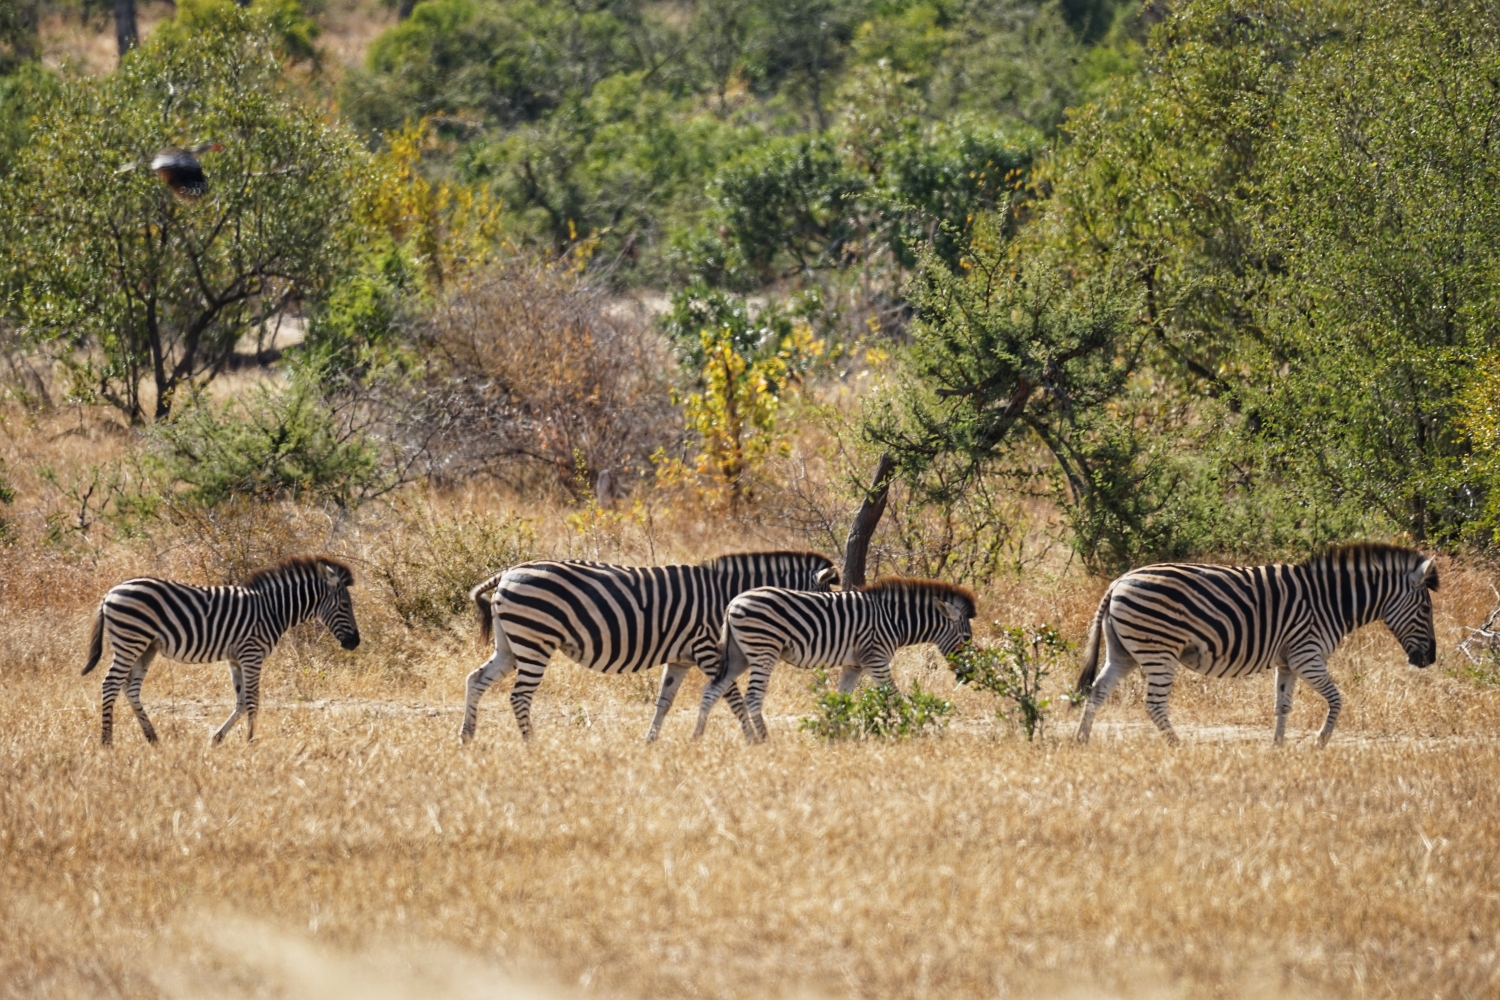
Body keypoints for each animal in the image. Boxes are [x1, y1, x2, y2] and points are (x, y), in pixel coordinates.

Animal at [82, 560, 360, 746]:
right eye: (345, 605)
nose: (355, 642)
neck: (273, 610)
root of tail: (111, 592)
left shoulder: (236, 659)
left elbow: (241, 702)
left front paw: (218, 738)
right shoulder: (252, 654)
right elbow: (253, 700)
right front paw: (251, 742)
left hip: (146, 647)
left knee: (130, 687)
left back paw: (153, 738)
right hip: (131, 640)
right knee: (110, 684)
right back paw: (107, 742)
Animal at [462, 548, 840, 743]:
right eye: (821, 604)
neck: (727, 597)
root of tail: (508, 571)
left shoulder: (682, 658)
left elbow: (664, 701)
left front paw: (650, 742)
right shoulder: (707, 648)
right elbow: (730, 696)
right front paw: (753, 739)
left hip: (511, 644)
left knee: (476, 679)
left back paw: (466, 737)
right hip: (535, 639)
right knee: (519, 696)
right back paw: (531, 745)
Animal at [687, 578, 972, 743]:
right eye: (966, 638)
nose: (967, 677)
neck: (895, 620)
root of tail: (733, 602)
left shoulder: (854, 665)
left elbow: (842, 701)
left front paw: (834, 734)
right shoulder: (876, 658)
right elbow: (894, 696)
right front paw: (912, 730)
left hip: (739, 656)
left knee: (712, 690)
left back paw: (699, 737)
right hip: (764, 649)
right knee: (753, 697)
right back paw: (766, 741)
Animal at [1074, 542, 1434, 746]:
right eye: (1427, 610)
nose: (1429, 659)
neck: (1332, 601)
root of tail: (1118, 582)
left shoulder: (1288, 661)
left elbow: (1283, 705)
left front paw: (1277, 747)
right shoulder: (1307, 654)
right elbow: (1336, 698)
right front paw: (1320, 741)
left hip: (1124, 652)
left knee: (1098, 690)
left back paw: (1081, 741)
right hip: (1159, 650)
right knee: (1154, 704)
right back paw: (1177, 746)